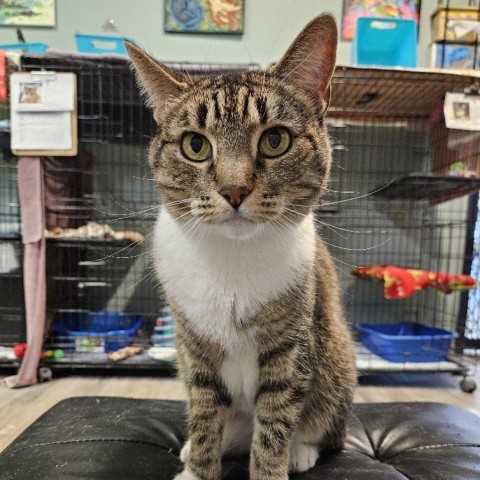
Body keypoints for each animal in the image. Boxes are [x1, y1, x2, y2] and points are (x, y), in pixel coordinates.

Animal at [126, 14, 356, 480]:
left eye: (275, 140)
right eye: (195, 145)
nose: (234, 190)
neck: (231, 261)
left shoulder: (290, 348)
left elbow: (275, 422)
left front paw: (272, 466)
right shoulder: (194, 346)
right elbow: (204, 412)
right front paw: (198, 468)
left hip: (336, 362)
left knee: (322, 427)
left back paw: (301, 451)